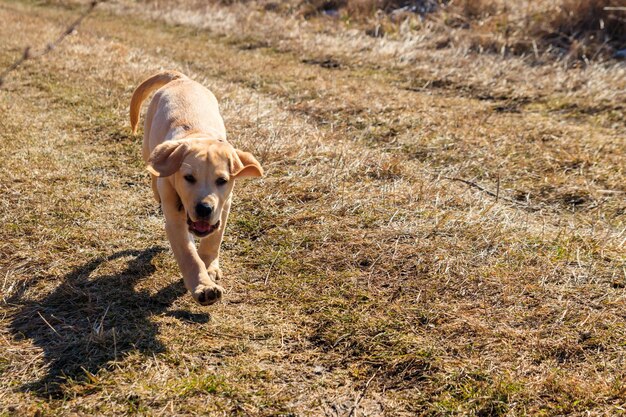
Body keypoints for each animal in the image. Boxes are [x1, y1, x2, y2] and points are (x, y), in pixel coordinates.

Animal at [129, 70, 260, 306]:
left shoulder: (223, 207)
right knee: (153, 165)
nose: (204, 209)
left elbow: (213, 240)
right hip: (148, 144)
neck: (199, 135)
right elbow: (189, 255)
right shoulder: (175, 221)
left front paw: (210, 267)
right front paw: (203, 286)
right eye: (188, 178)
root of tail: (182, 78)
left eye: (222, 180)